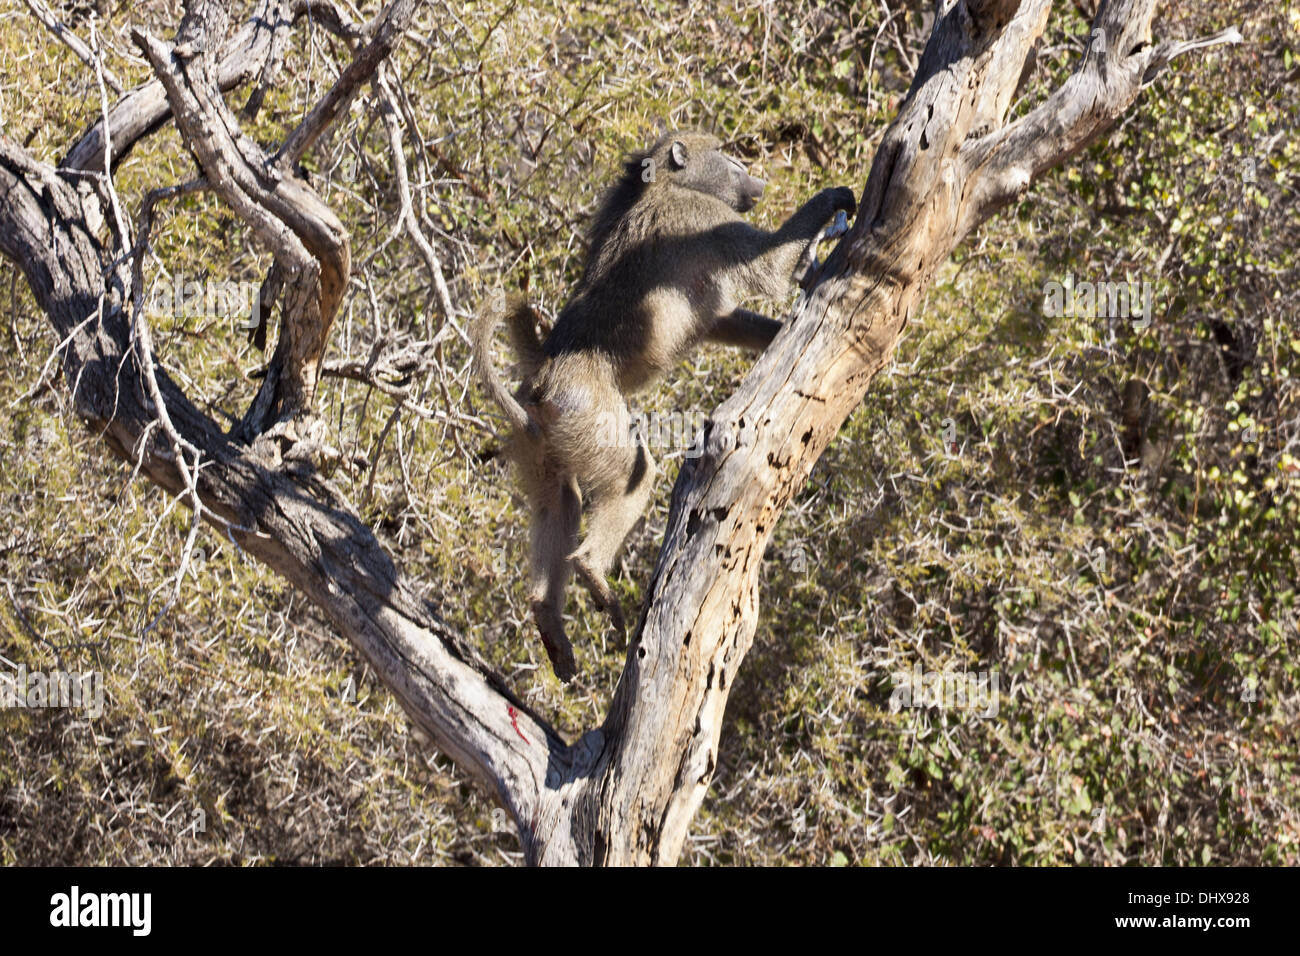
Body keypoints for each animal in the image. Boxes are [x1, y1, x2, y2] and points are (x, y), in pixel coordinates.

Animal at [473, 130, 857, 681]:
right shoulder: (699, 217)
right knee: (636, 474)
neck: (657, 186)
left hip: (538, 440)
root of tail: (547, 368)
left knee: (559, 500)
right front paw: (832, 200)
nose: (759, 183)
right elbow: (765, 270)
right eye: (730, 157)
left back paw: (548, 619)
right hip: (585, 411)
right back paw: (591, 570)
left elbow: (720, 318)